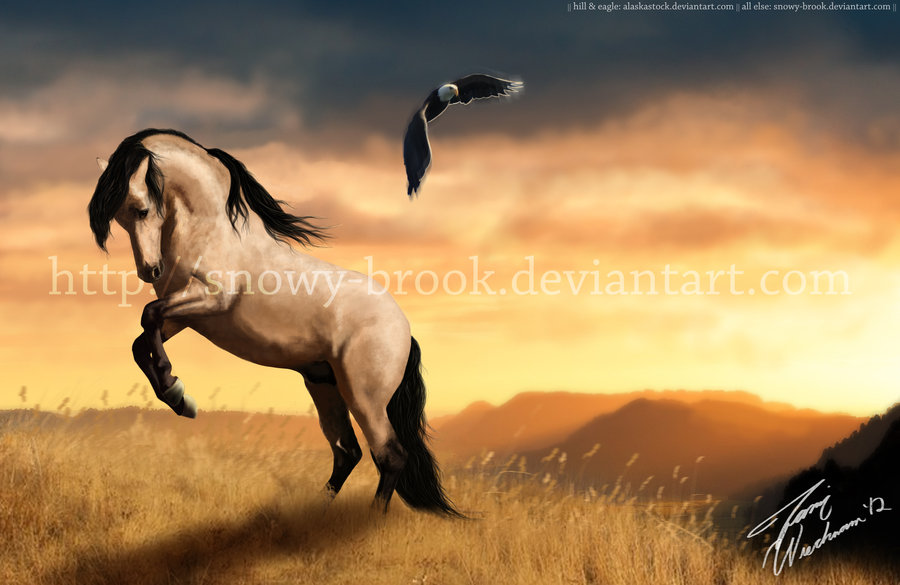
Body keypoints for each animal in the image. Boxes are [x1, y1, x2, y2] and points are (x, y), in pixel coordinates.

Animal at [88, 128, 460, 516]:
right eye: (119, 219)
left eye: (141, 209)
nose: (150, 270)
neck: (211, 233)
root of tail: (404, 330)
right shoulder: (187, 316)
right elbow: (142, 339)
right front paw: (178, 396)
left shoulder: (209, 299)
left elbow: (148, 316)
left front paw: (178, 394)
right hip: (324, 385)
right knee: (348, 452)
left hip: (364, 397)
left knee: (389, 455)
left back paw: (370, 518)